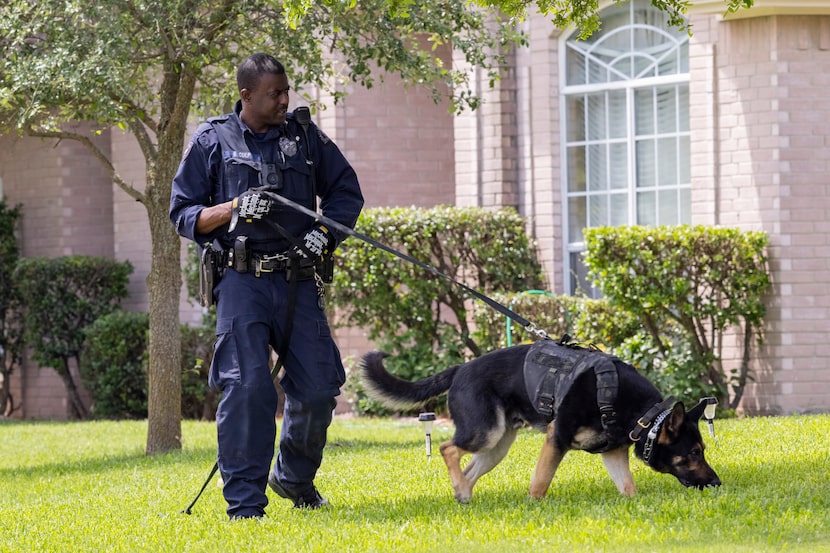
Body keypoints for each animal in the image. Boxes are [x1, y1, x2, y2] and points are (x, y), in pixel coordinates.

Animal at [360, 338, 724, 502]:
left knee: (468, 468)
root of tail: (460, 368)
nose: (717, 483)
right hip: (485, 432)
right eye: (694, 453)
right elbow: (540, 482)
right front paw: (533, 508)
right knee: (448, 448)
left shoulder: (612, 453)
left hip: (497, 445)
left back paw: (463, 494)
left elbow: (628, 486)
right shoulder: (556, 438)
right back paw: (462, 490)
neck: (643, 418)